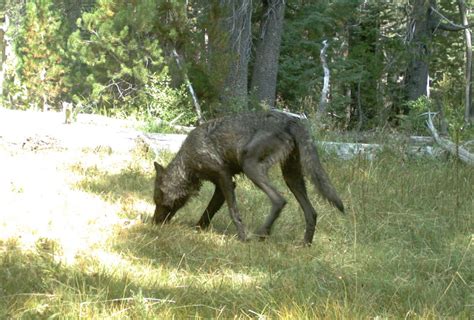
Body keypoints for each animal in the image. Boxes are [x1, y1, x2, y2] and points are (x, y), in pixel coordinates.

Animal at [154, 110, 342, 245]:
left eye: (157, 201)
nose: (153, 222)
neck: (186, 163)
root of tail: (290, 120)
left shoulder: (224, 177)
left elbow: (233, 211)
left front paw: (243, 238)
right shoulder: (223, 185)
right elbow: (208, 212)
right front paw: (198, 230)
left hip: (251, 167)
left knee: (279, 200)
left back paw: (262, 234)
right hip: (291, 177)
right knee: (312, 212)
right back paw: (305, 245)